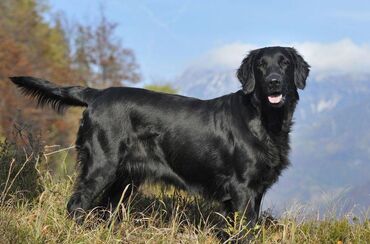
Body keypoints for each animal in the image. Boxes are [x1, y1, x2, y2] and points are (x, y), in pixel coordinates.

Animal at [9, 45, 310, 229]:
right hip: (101, 166)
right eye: (261, 65)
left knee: (103, 209)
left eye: (284, 63)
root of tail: (97, 94)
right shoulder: (242, 189)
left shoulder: (256, 191)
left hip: (123, 180)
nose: (273, 81)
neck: (265, 119)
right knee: (77, 205)